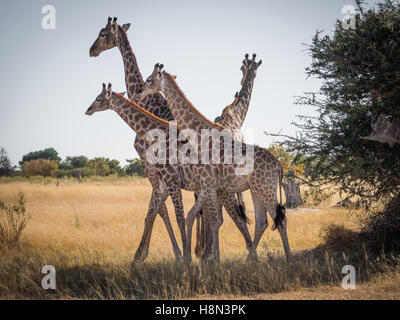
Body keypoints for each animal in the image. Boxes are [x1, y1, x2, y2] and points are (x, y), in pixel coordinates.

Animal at [86, 83, 258, 262]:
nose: (88, 110)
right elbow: (152, 214)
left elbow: (177, 217)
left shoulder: (172, 181)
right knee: (224, 217)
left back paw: (241, 255)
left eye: (99, 98)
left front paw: (184, 257)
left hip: (221, 189)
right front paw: (138, 258)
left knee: (235, 217)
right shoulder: (163, 185)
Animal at [138, 64, 290, 260]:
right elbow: (213, 220)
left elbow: (214, 220)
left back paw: (288, 260)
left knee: (280, 220)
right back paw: (254, 257)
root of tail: (278, 165)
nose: (140, 92)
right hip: (257, 189)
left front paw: (210, 259)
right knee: (263, 221)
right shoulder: (213, 186)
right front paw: (209, 257)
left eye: (149, 79)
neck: (200, 134)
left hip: (265, 189)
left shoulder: (210, 184)